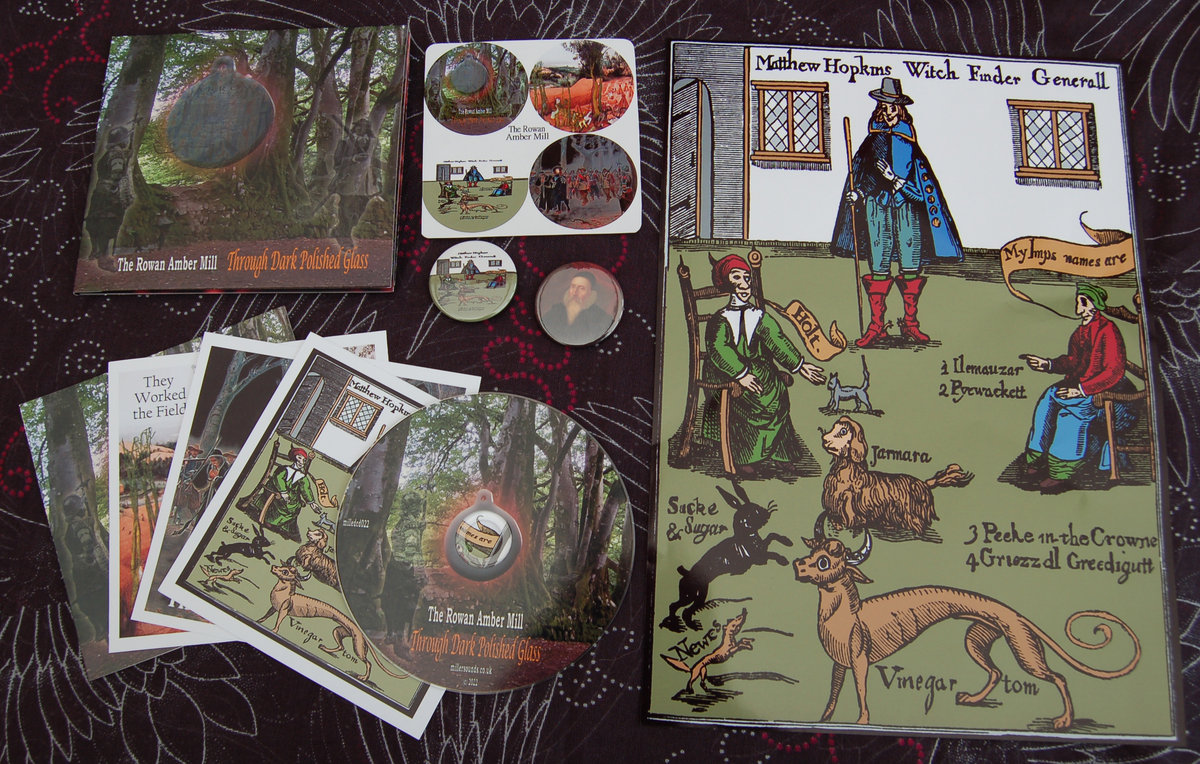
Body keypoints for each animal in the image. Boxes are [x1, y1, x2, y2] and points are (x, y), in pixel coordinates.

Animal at [660, 483, 791, 631]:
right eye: (754, 511)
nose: (767, 512)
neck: (746, 535)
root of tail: (686, 573)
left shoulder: (762, 548)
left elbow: (772, 535)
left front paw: (787, 541)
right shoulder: (758, 557)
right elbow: (771, 551)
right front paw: (783, 559)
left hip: (697, 594)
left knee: (679, 608)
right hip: (693, 594)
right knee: (680, 608)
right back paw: (684, 626)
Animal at [793, 519, 1140, 729]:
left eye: (824, 562)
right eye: (813, 551)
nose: (797, 565)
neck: (846, 615)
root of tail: (1017, 614)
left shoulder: (860, 662)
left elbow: (862, 691)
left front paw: (863, 720)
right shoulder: (839, 664)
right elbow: (833, 692)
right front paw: (824, 718)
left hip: (1024, 649)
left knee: (1058, 677)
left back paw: (1065, 720)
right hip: (977, 639)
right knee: (996, 672)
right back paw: (973, 699)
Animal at [820, 415, 972, 535]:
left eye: (843, 431)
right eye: (834, 427)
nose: (824, 439)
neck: (844, 471)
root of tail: (923, 483)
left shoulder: (849, 503)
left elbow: (850, 519)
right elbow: (833, 515)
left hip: (908, 512)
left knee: (918, 525)